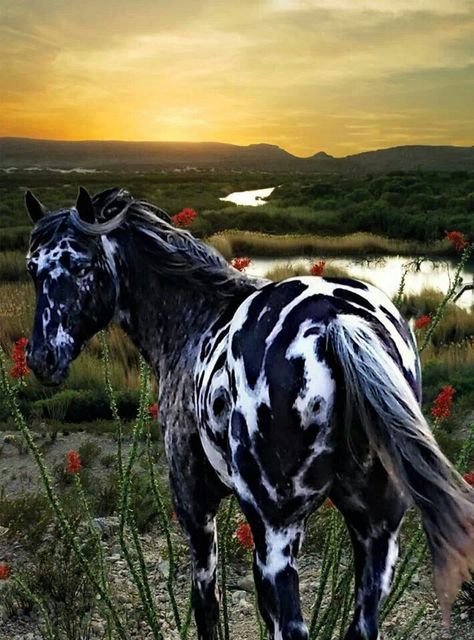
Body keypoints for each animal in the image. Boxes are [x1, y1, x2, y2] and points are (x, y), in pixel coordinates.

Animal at [24, 189, 472, 640]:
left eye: (81, 264)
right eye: (32, 268)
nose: (42, 358)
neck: (194, 321)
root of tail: (338, 322)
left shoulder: (196, 508)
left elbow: (206, 605)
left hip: (277, 534)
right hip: (375, 535)